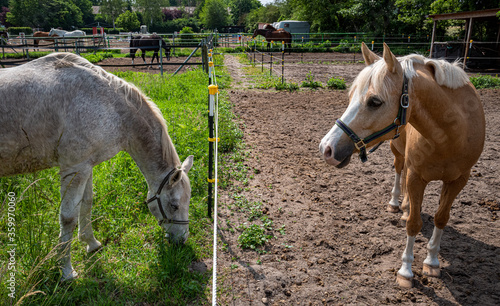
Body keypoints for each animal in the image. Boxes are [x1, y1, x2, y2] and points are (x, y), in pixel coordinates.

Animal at [0, 53, 194, 282]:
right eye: (174, 205)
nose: (182, 240)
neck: (108, 105)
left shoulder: (86, 167)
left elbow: (87, 204)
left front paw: (91, 244)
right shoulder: (73, 168)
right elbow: (68, 217)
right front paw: (66, 270)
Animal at [318, 42, 486, 286]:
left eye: (375, 102)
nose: (326, 148)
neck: (451, 133)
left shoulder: (458, 180)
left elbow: (441, 218)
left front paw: (432, 262)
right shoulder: (417, 176)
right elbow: (414, 223)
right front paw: (406, 270)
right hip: (398, 152)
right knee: (400, 172)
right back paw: (397, 203)